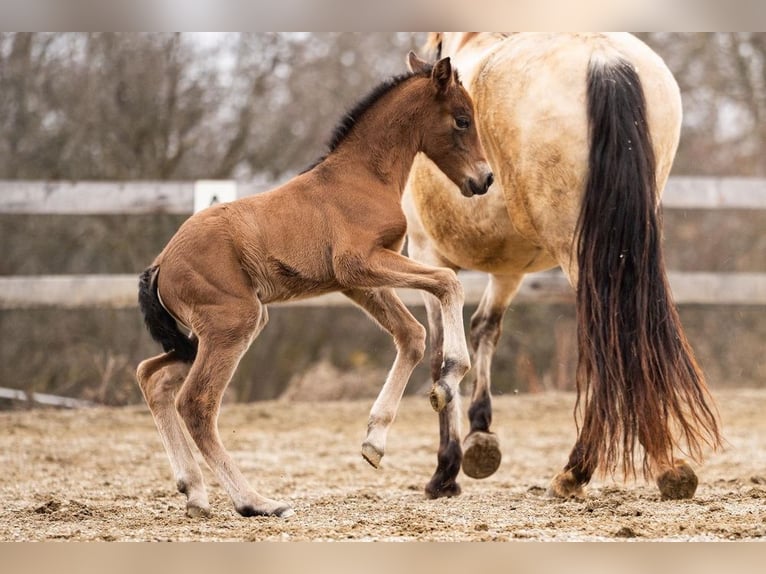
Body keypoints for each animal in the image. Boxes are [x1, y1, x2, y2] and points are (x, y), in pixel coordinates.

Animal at [136, 51, 493, 518]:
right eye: (462, 120)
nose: (484, 180)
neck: (364, 177)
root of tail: (161, 264)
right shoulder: (359, 264)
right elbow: (448, 282)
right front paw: (449, 378)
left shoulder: (357, 282)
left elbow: (412, 335)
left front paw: (374, 442)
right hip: (235, 322)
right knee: (195, 403)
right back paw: (255, 502)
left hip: (204, 334)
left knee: (152, 377)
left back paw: (194, 491)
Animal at [402, 33, 722, 500]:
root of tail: (603, 58)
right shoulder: (509, 268)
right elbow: (484, 328)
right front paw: (481, 435)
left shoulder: (428, 255)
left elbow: (443, 353)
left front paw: (446, 470)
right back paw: (666, 466)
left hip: (582, 256)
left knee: (605, 342)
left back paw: (576, 470)